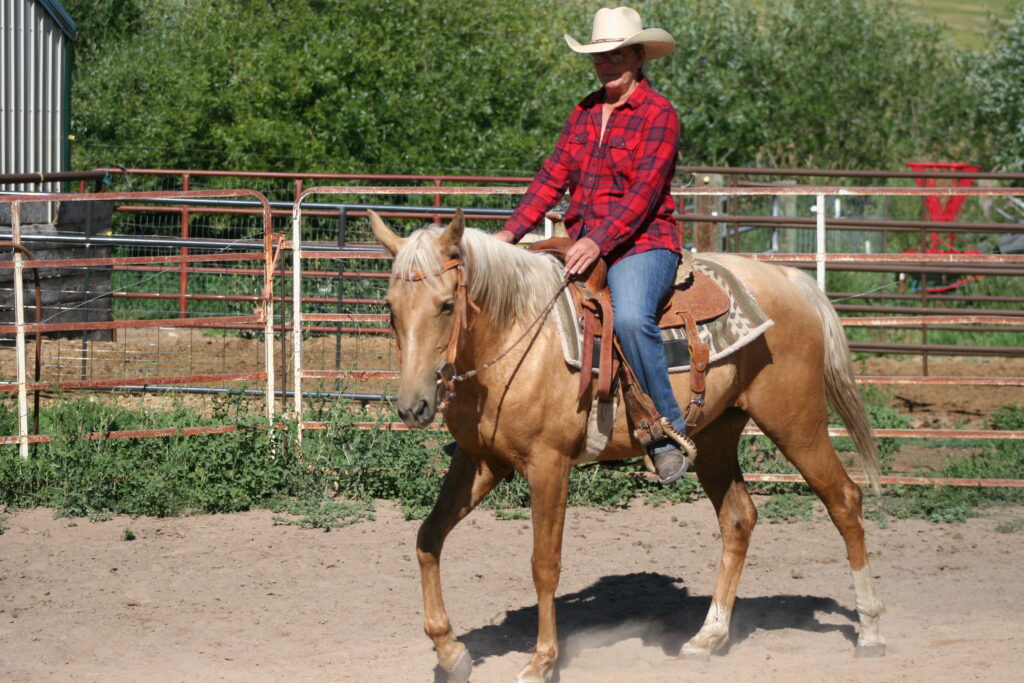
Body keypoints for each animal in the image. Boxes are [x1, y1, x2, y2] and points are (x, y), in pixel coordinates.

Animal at [369, 209, 886, 683]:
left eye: (445, 305)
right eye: (391, 307)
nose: (413, 406)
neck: (518, 335)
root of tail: (790, 279)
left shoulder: (549, 465)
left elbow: (544, 563)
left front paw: (542, 661)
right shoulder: (480, 462)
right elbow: (428, 537)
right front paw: (450, 652)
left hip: (795, 421)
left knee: (844, 500)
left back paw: (870, 632)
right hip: (717, 437)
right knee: (739, 518)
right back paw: (709, 636)